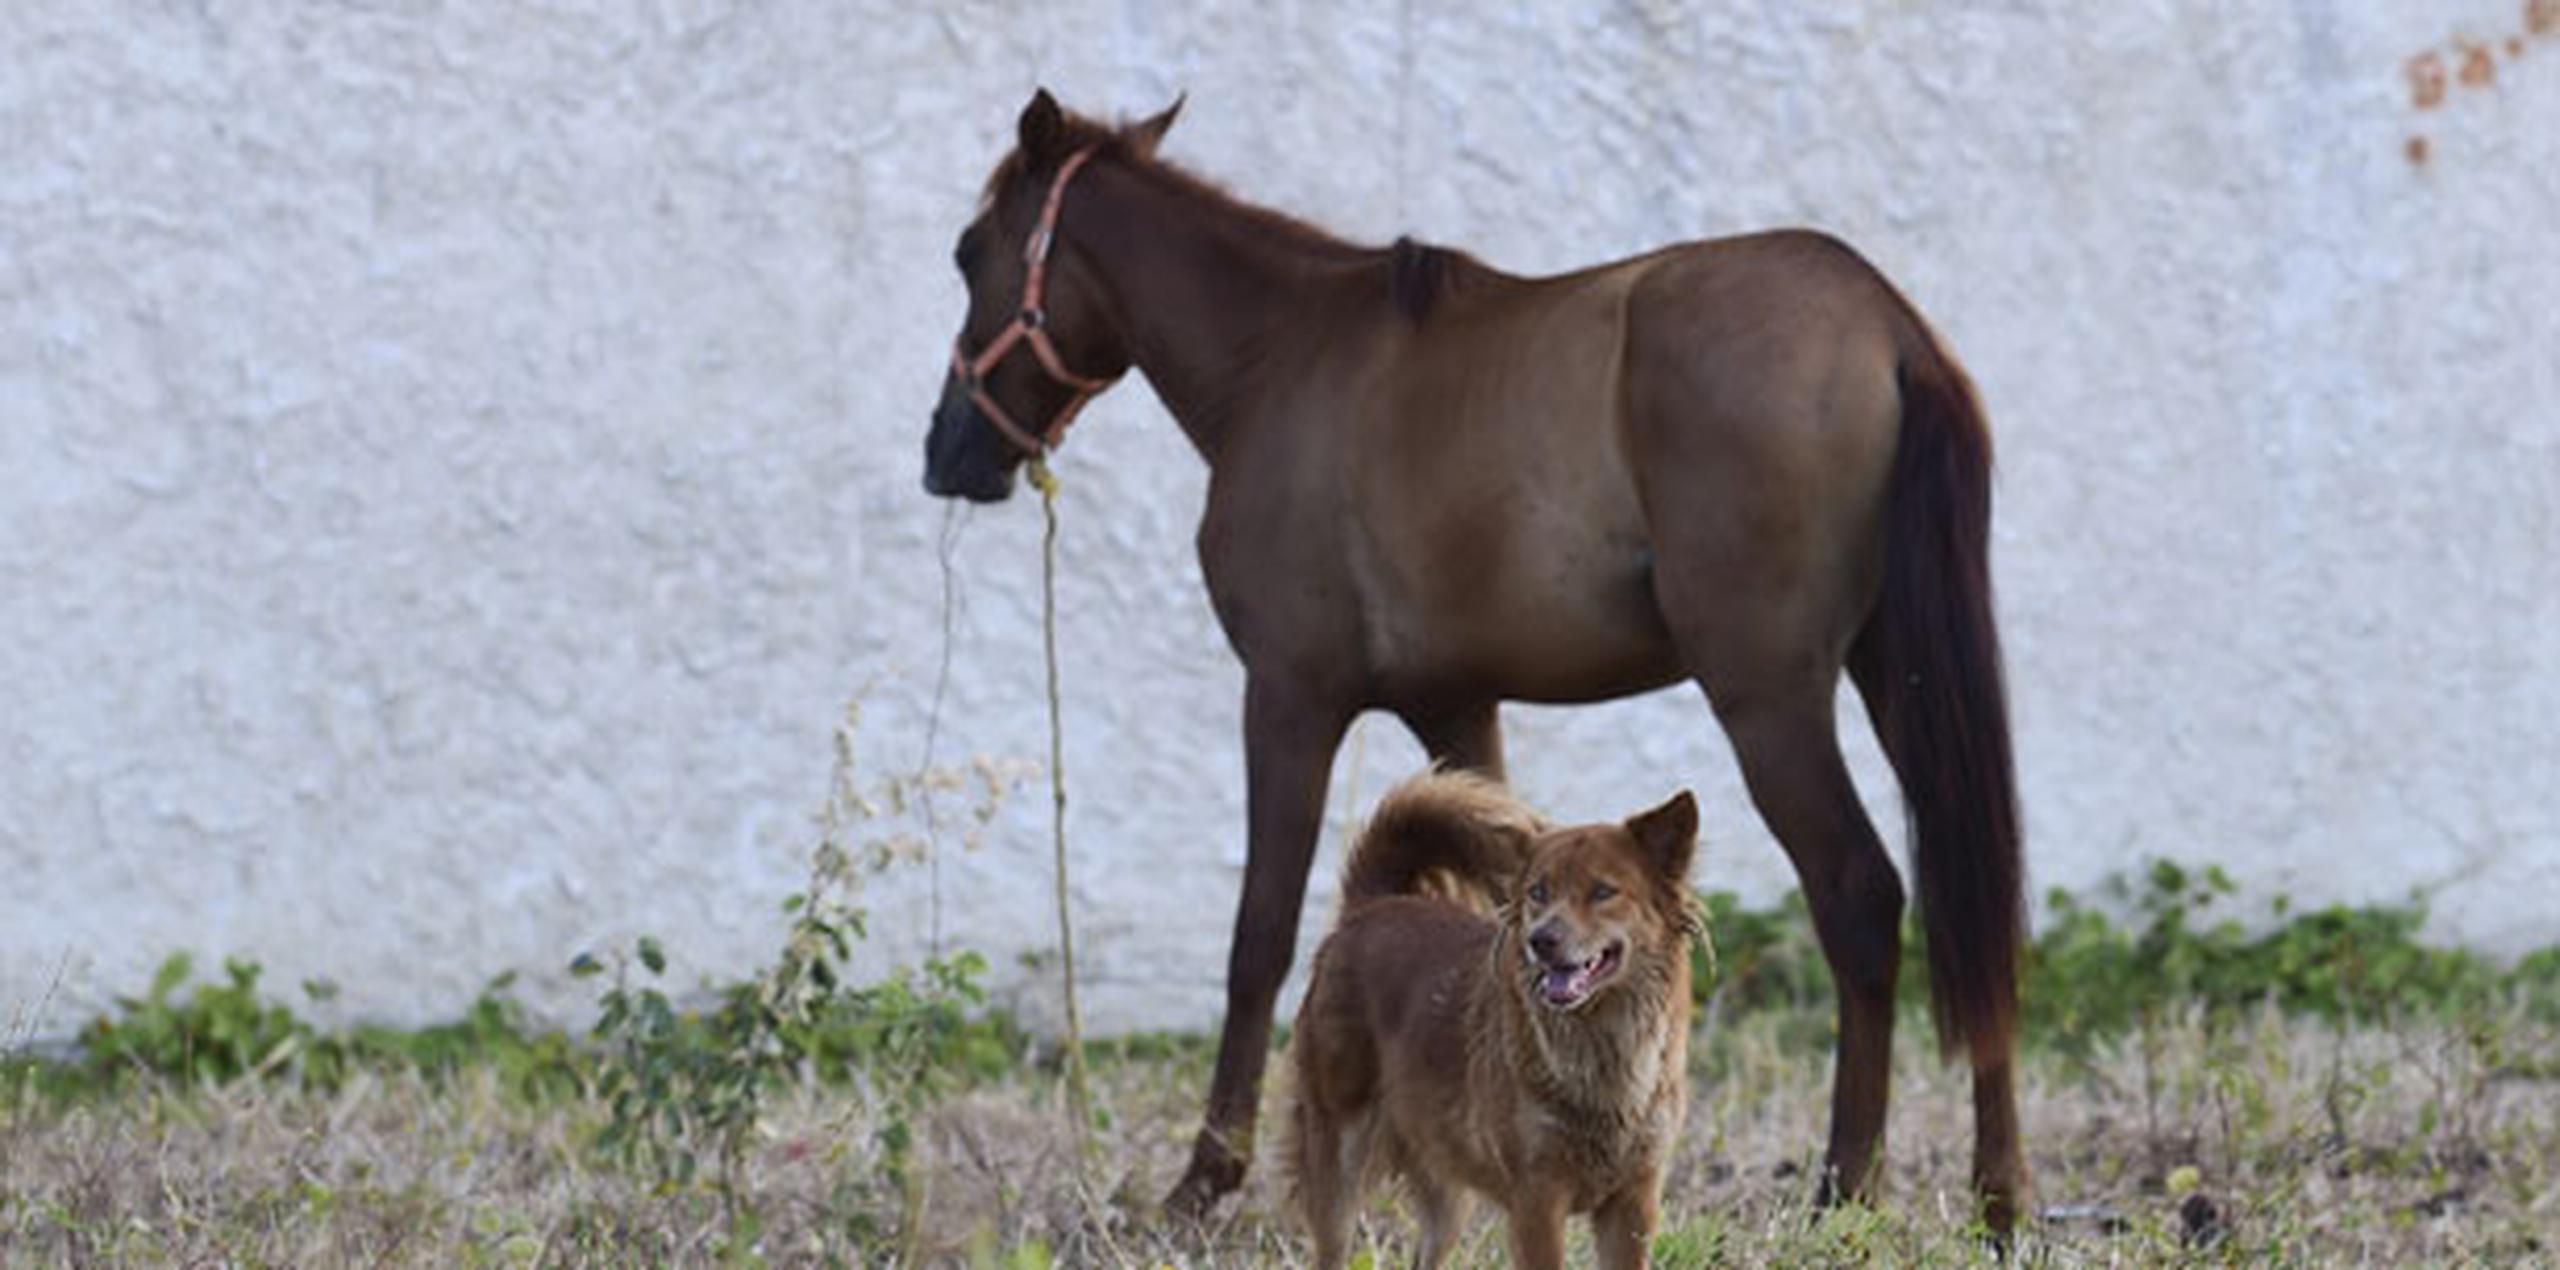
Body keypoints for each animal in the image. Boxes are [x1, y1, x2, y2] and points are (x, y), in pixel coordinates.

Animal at [1290, 768, 1689, 1270]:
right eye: (1538, 892)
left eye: (1603, 892)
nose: (1541, 940)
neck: (1601, 1043)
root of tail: (1372, 906)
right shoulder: (1536, 1200)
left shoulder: (1633, 1202)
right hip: (1338, 1163)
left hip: (1446, 1195)